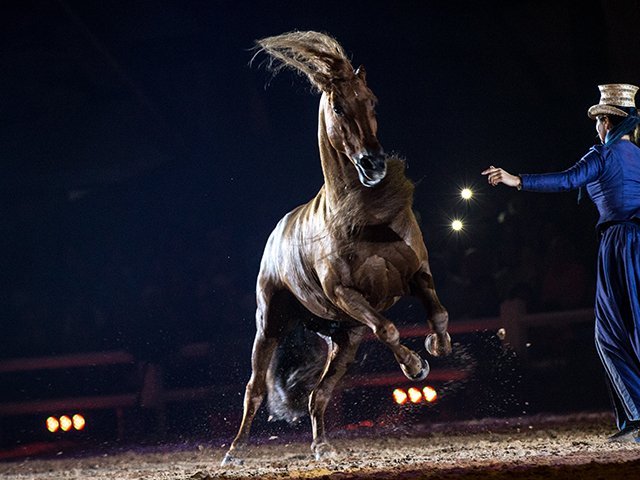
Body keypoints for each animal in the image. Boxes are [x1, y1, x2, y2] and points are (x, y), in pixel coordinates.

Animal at [221, 31, 451, 465]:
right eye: (338, 107)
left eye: (372, 101)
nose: (373, 164)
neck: (366, 217)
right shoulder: (346, 294)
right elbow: (389, 328)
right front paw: (416, 367)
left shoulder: (417, 272)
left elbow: (438, 313)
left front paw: (437, 344)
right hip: (270, 324)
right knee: (255, 390)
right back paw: (234, 451)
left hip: (345, 338)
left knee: (319, 394)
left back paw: (322, 446)